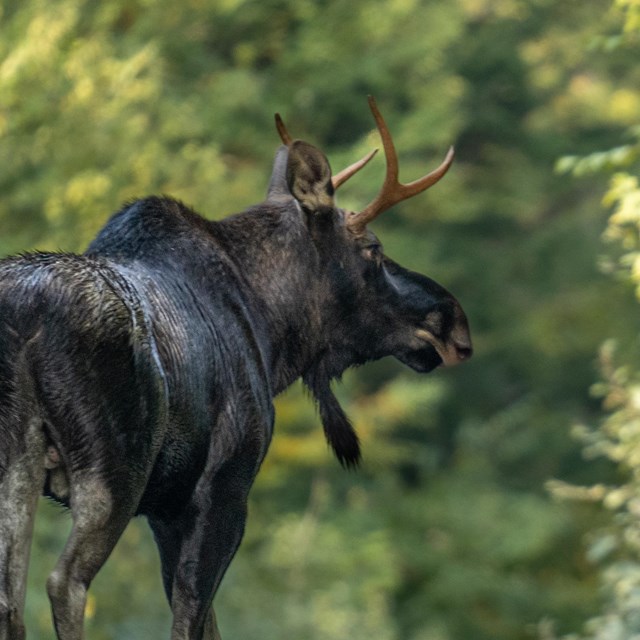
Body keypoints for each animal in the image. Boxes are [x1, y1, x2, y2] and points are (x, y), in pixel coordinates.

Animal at [0, 96, 470, 640]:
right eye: (372, 249)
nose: (453, 322)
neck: (273, 334)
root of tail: (23, 318)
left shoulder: (166, 508)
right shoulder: (223, 483)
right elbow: (191, 616)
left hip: (21, 461)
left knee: (11, 600)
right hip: (115, 469)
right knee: (66, 582)